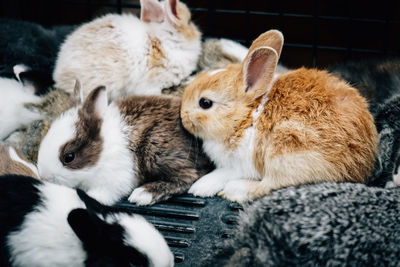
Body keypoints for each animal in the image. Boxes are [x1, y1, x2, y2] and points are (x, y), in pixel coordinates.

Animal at [36, 82, 214, 206]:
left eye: (69, 157)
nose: (44, 177)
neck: (103, 153)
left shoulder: (113, 180)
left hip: (157, 151)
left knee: (188, 176)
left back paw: (143, 194)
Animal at [181, 29, 378, 203]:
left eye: (205, 103)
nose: (182, 116)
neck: (245, 118)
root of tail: (360, 167)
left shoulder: (240, 163)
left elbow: (223, 173)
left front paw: (199, 188)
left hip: (285, 154)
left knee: (270, 186)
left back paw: (234, 190)